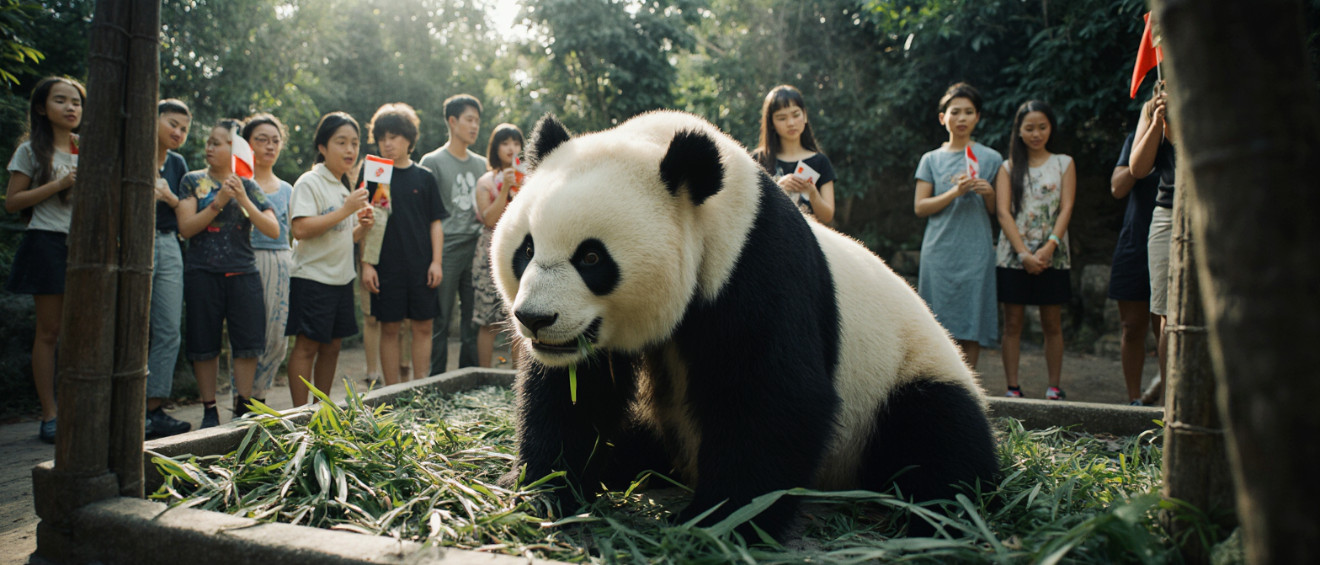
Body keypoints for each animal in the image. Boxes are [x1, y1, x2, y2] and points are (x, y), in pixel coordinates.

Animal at [490, 110, 998, 539]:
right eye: (527, 249)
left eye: (592, 258)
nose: (535, 318)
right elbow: (574, 396)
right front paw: (545, 491)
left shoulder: (756, 268)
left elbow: (774, 397)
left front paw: (719, 520)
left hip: (901, 373)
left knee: (937, 436)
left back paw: (939, 514)